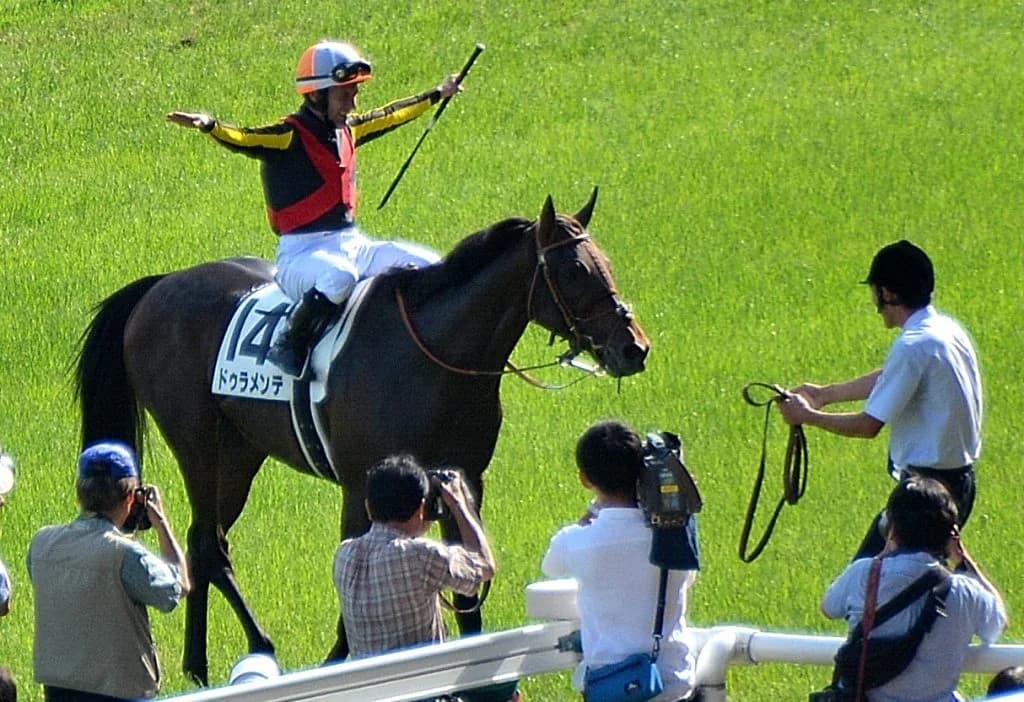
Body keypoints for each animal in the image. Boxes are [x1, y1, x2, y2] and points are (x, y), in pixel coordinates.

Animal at [75, 190, 650, 685]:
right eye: (575, 270)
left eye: (605, 262)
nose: (634, 347)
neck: (436, 357)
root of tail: (161, 285)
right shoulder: (360, 487)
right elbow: (357, 580)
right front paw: (341, 666)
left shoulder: (465, 480)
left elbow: (467, 592)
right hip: (197, 442)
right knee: (209, 544)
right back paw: (243, 650)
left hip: (240, 451)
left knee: (202, 540)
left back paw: (204, 662)